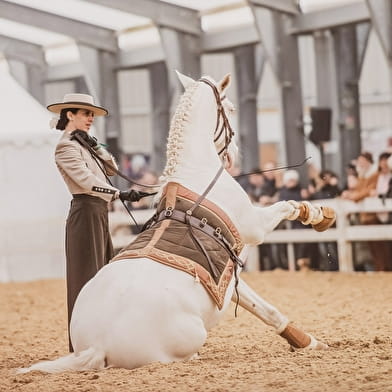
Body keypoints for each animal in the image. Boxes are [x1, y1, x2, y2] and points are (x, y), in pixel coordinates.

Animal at [19, 70, 336, 374]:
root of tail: (97, 345)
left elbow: (265, 309)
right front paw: (320, 215)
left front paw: (308, 342)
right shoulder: (254, 227)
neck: (197, 171)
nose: (233, 155)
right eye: (231, 108)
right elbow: (288, 206)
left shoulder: (228, 278)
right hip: (191, 337)